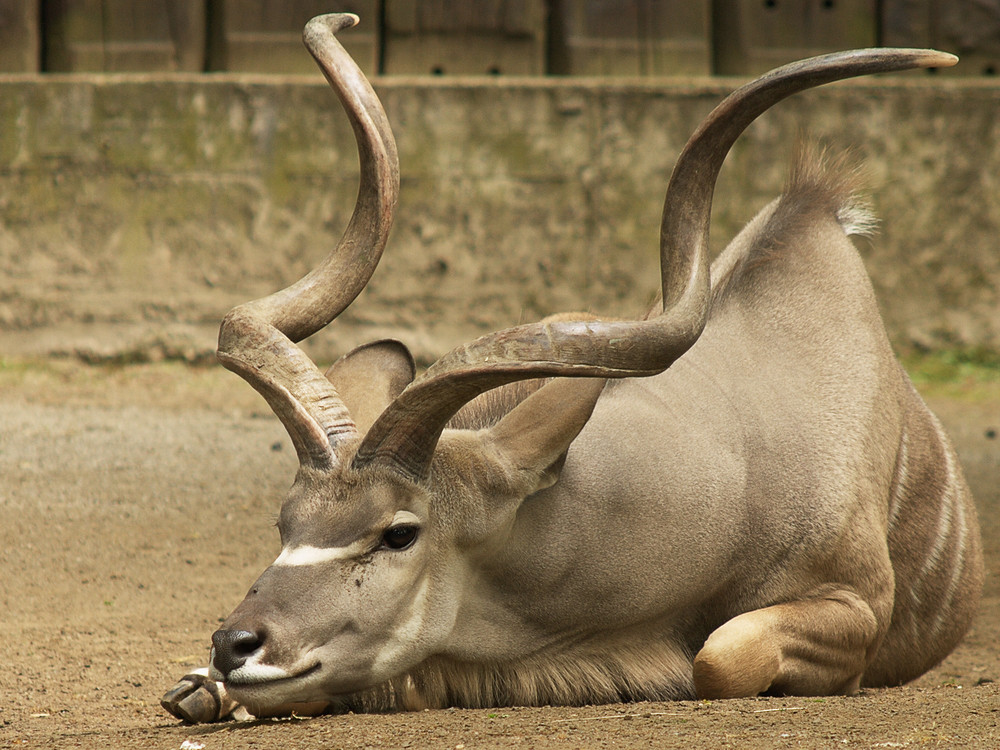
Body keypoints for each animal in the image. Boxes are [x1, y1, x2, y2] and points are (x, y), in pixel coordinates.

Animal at [160, 11, 980, 724]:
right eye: (284, 520)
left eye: (398, 533)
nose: (235, 645)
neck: (738, 468)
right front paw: (205, 688)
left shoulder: (854, 607)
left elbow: (717, 659)